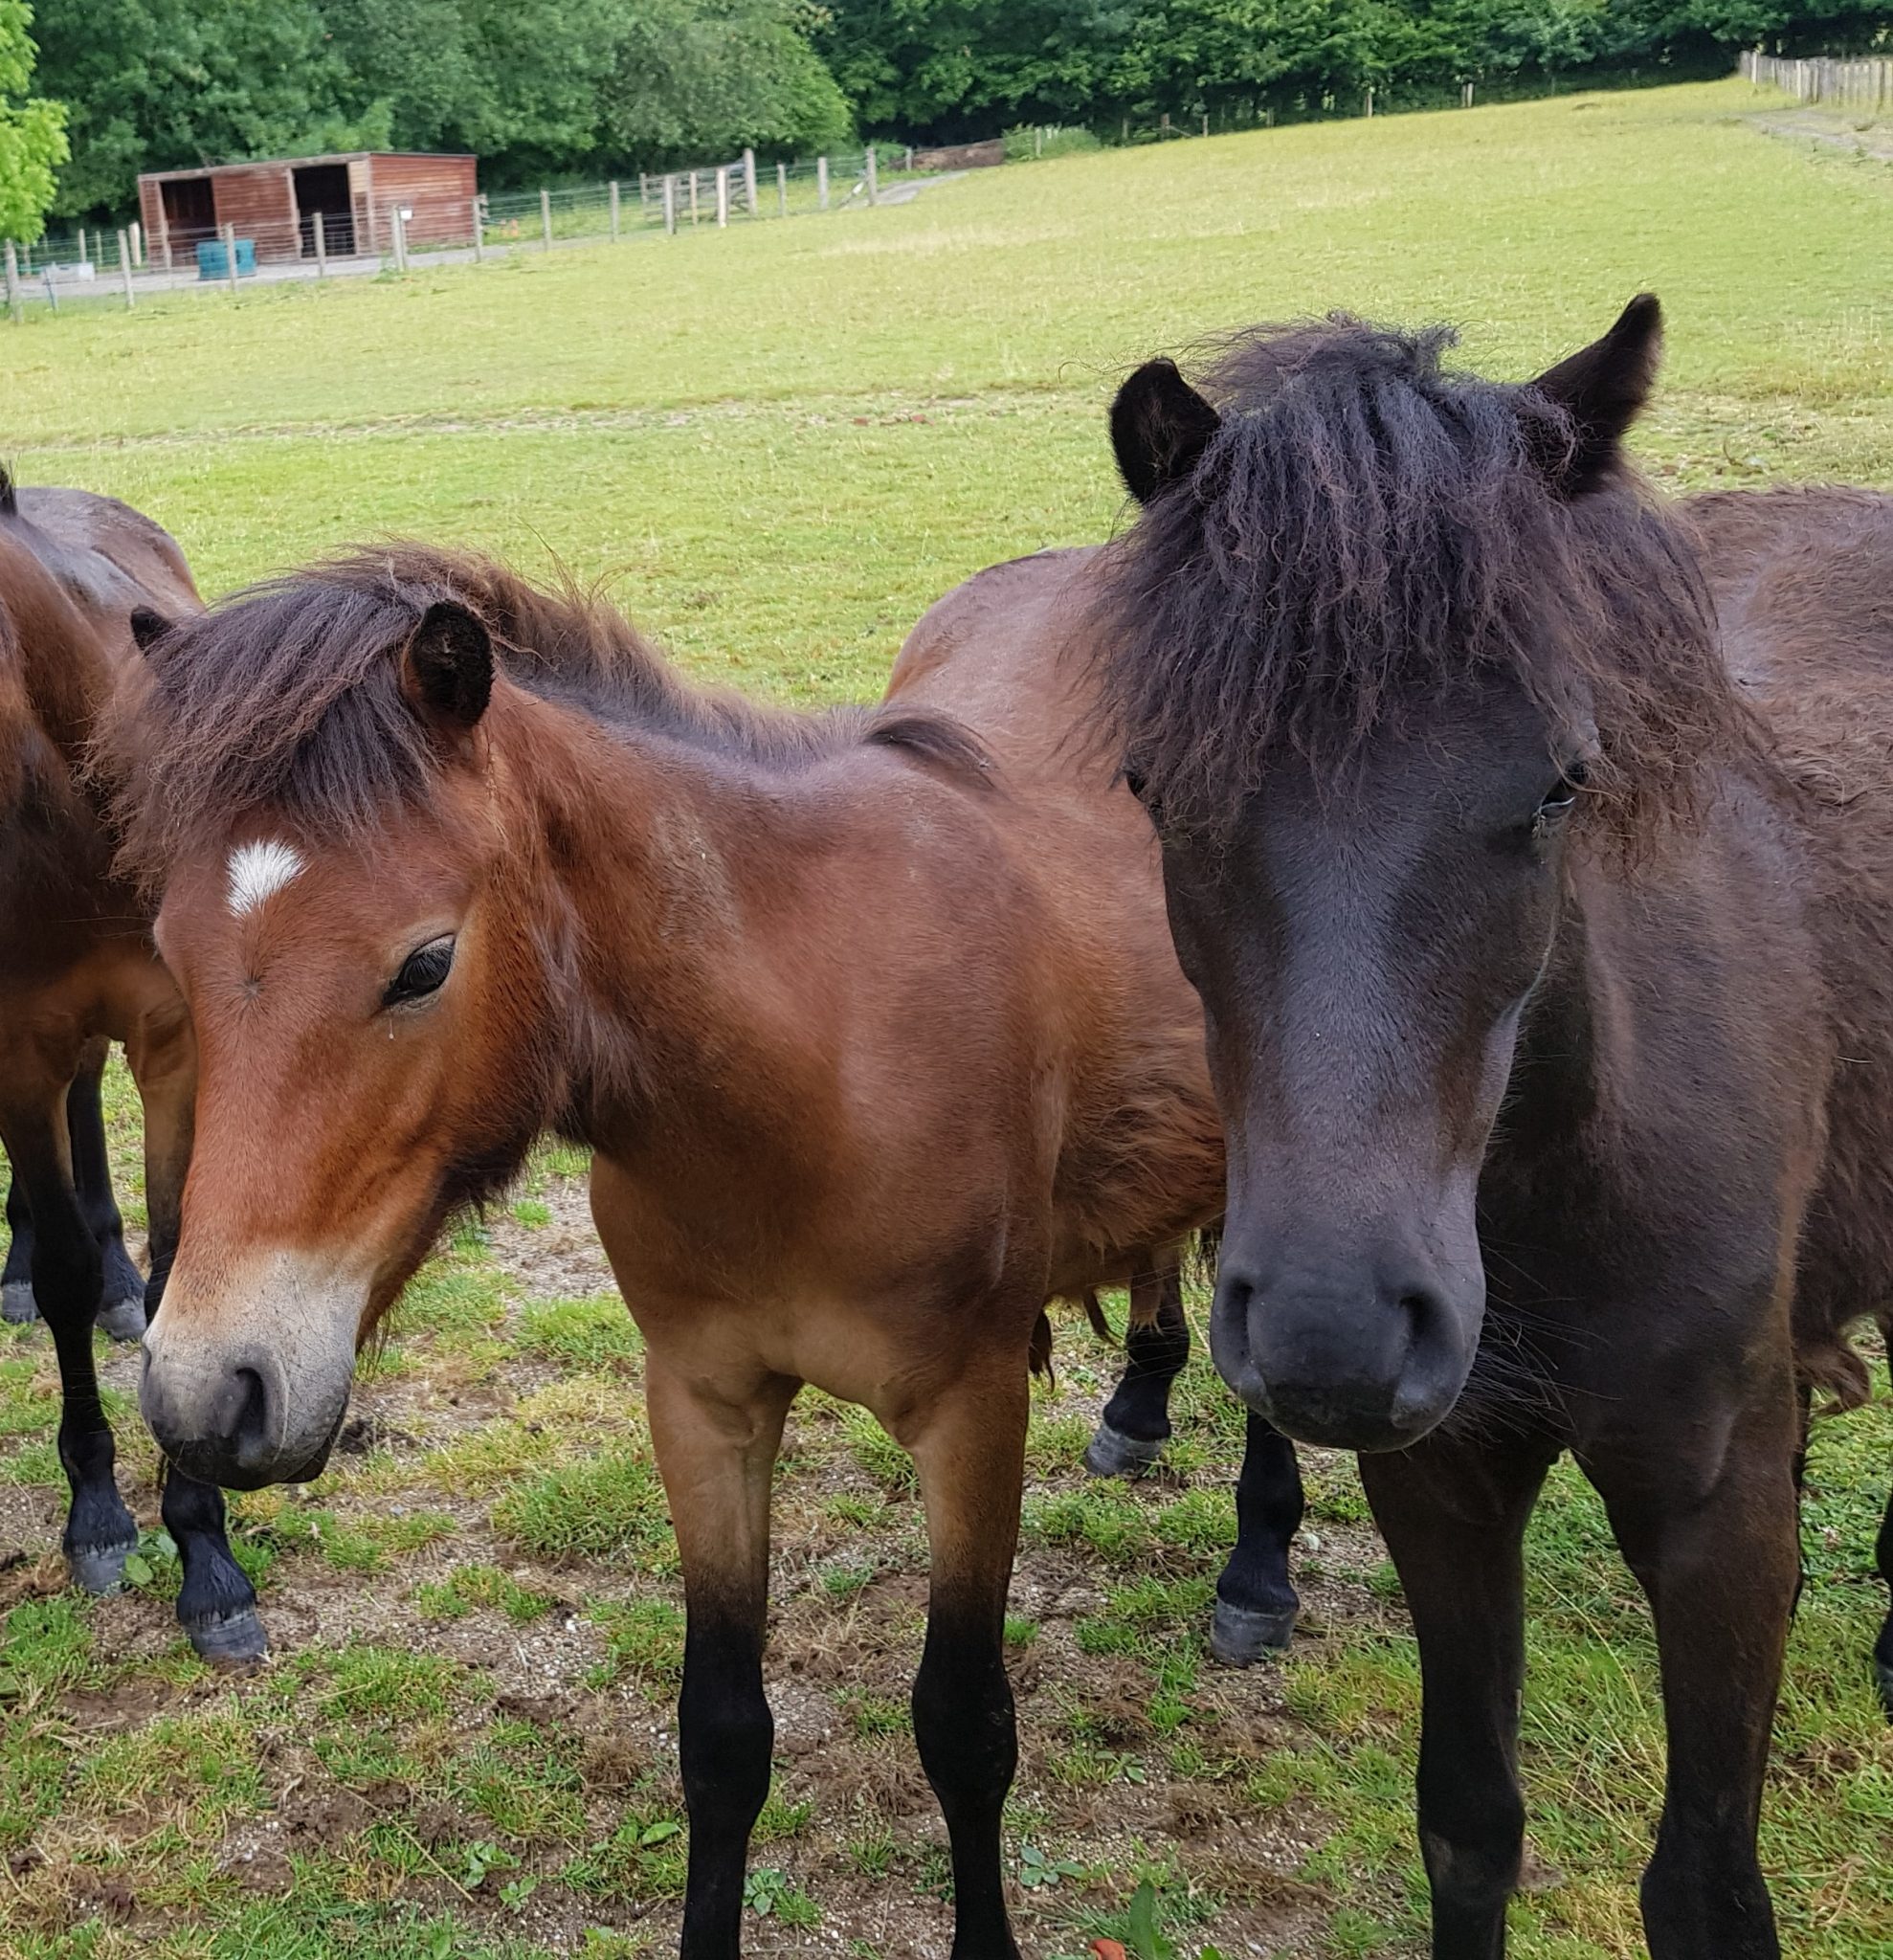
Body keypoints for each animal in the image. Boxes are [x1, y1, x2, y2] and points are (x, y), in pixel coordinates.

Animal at [113, 543, 1246, 1960]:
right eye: (170, 953)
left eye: (423, 964)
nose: (207, 1393)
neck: (812, 1063)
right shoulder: (703, 1401)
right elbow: (719, 1735)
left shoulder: (973, 1412)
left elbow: (966, 1727)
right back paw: (1142, 1404)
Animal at [1083, 297, 1893, 1960]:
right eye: (1155, 786)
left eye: (1560, 784)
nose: (1330, 1336)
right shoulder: (1443, 1486)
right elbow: (1467, 1828)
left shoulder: (1706, 1525)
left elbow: (1701, 1889)